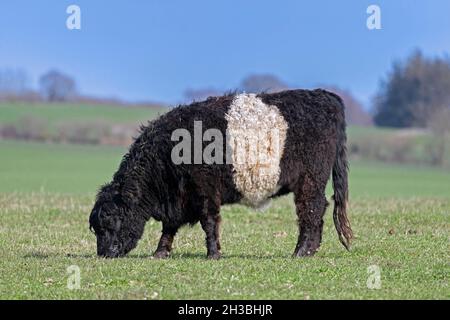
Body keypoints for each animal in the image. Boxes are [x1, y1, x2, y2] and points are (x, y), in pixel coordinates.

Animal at [89, 89, 354, 258]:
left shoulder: (205, 190)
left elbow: (209, 222)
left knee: (311, 210)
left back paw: (301, 251)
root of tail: (325, 95)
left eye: (112, 221)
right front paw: (160, 252)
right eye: (96, 228)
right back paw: (309, 251)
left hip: (310, 180)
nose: (104, 254)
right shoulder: (179, 198)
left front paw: (213, 253)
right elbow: (169, 226)